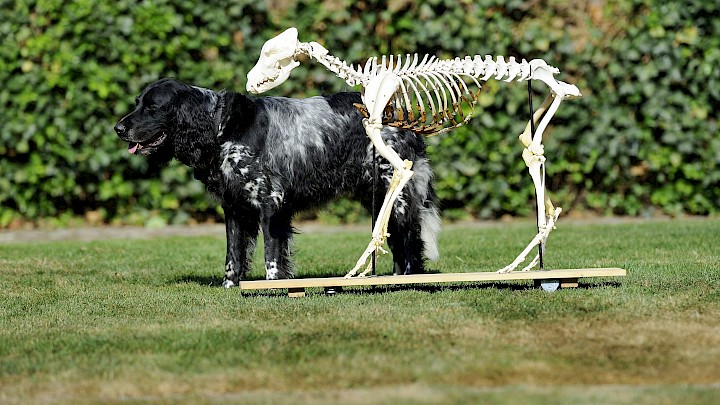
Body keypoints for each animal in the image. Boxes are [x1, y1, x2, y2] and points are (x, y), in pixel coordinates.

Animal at [114, 78, 438, 288]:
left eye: (152, 107)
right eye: (137, 103)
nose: (118, 128)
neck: (222, 129)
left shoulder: (270, 202)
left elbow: (271, 253)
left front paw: (272, 286)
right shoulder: (235, 209)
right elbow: (234, 255)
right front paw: (230, 287)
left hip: (397, 197)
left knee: (410, 240)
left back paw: (408, 280)